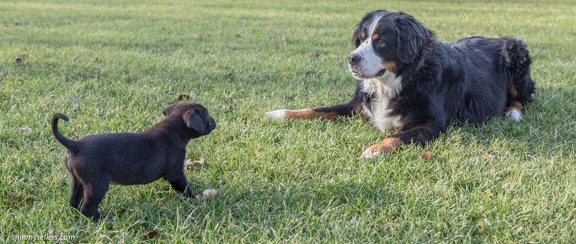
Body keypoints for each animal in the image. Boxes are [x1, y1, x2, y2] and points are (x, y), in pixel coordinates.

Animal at [49, 102, 215, 220]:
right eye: (206, 116)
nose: (215, 120)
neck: (173, 129)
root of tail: (75, 145)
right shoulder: (176, 174)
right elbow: (185, 188)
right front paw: (195, 199)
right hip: (97, 184)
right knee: (88, 207)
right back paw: (103, 219)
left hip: (77, 180)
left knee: (74, 201)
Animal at [266, 10, 536, 158]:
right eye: (361, 39)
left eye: (380, 41)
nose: (352, 59)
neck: (392, 83)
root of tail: (499, 38)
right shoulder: (357, 105)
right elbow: (317, 109)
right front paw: (279, 113)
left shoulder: (431, 124)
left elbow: (397, 137)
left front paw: (374, 149)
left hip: (517, 53)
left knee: (521, 99)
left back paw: (513, 113)